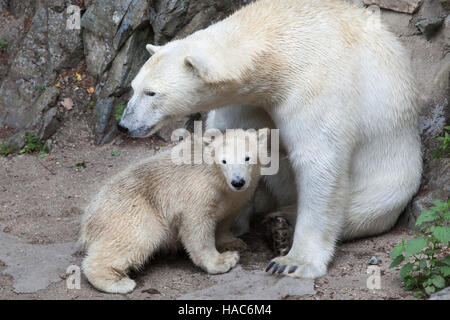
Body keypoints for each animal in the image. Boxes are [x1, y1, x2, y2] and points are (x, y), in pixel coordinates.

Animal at [118, 0, 422, 278]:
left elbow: (319, 160)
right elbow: (237, 140)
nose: (124, 125)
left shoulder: (314, 82)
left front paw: (293, 262)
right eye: (133, 87)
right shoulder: (248, 100)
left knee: (365, 207)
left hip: (391, 177)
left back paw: (281, 227)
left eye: (152, 93)